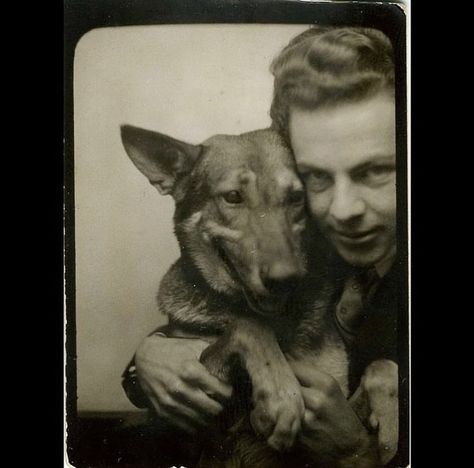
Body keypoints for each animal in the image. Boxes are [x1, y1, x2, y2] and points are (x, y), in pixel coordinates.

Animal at [120, 122, 398, 466]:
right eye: (233, 197)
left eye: (297, 197)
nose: (284, 279)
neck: (278, 322)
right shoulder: (200, 406)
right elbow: (250, 327)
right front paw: (281, 397)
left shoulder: (339, 401)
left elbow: (383, 366)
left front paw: (390, 423)